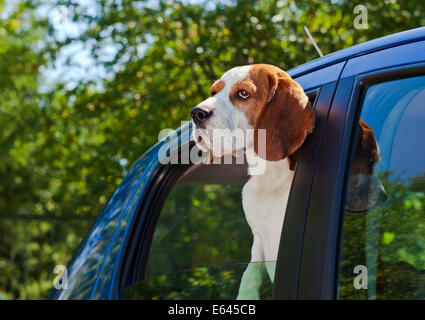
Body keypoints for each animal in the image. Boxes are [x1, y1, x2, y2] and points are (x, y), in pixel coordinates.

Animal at [191, 63, 314, 298]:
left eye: (243, 94)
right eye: (213, 92)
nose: (196, 113)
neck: (269, 177)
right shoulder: (258, 240)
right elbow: (249, 275)